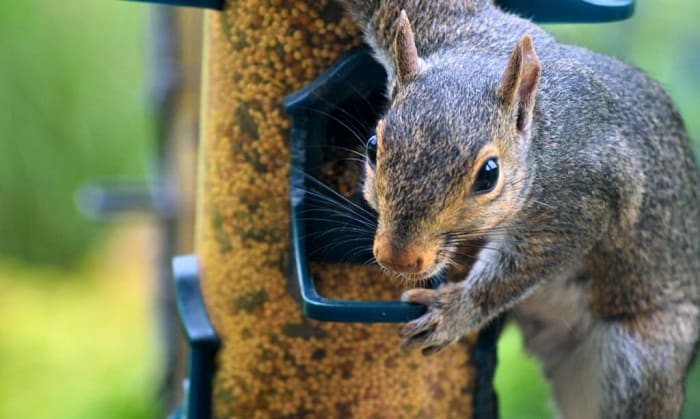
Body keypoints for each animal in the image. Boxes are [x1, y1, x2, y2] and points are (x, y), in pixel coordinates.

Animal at [334, 0, 700, 419]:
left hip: (643, 359)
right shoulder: (439, 23)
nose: (397, 258)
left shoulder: (582, 201)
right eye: (372, 147)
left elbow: (517, 271)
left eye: (489, 174)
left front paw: (455, 311)